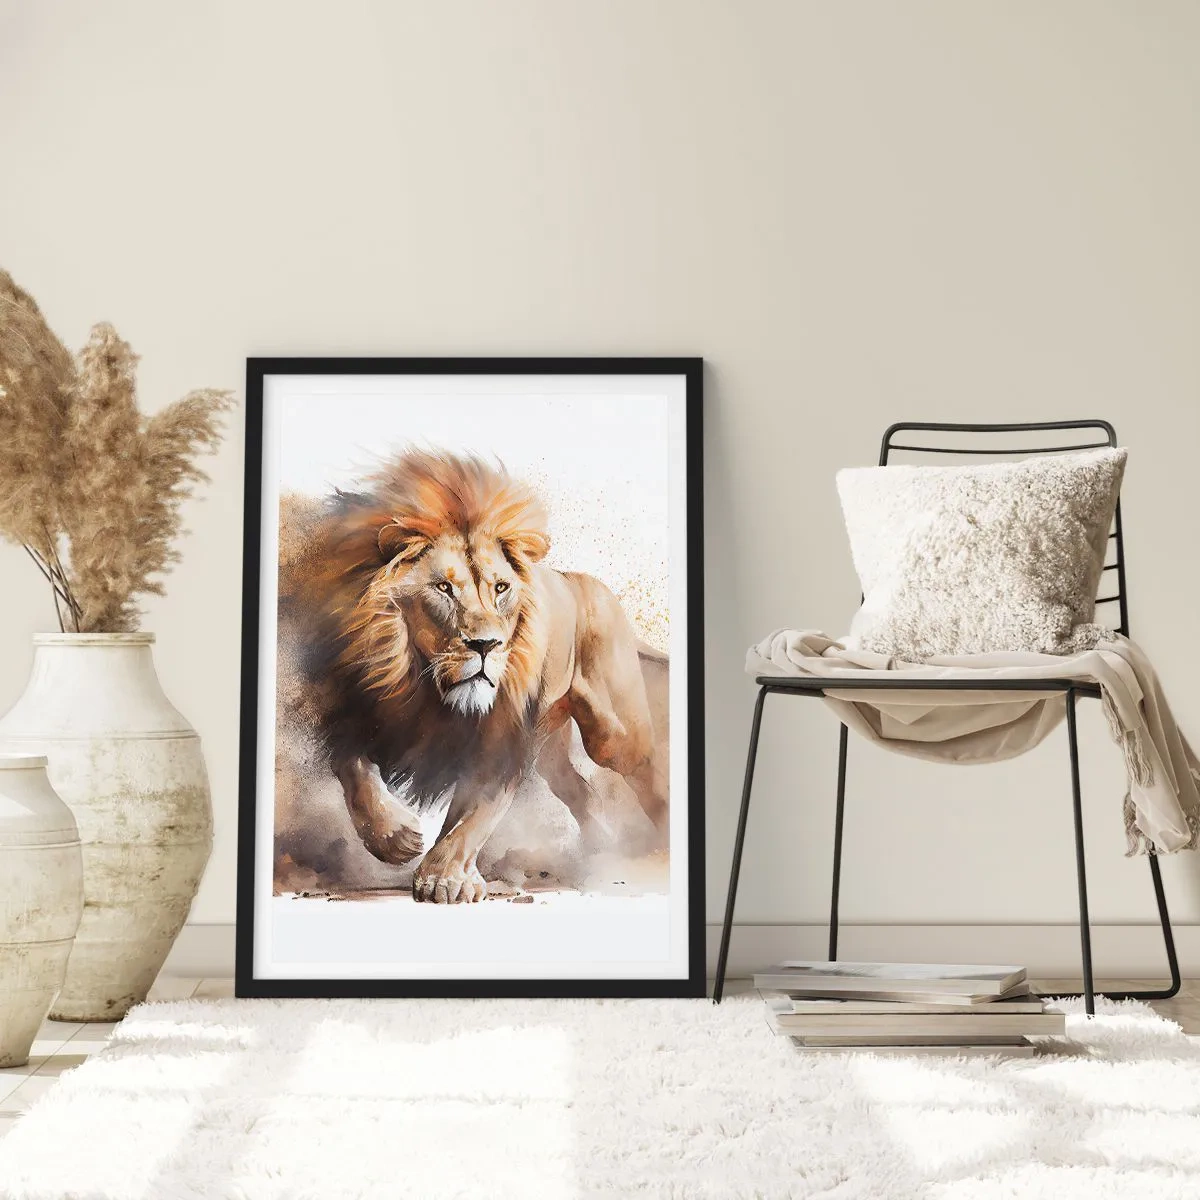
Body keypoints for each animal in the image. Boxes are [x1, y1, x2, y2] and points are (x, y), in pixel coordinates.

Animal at [283, 448, 669, 904]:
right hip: (550, 749)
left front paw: (444, 878)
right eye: (443, 589)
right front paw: (396, 838)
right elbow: (355, 773)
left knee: (647, 771)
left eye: (501, 588)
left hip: (615, 736)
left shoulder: (499, 740)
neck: (422, 685)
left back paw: (657, 846)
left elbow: (473, 815)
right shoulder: (349, 706)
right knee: (580, 791)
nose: (486, 645)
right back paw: (599, 851)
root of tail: (578, 580)